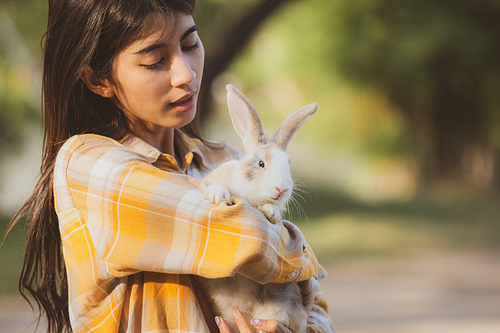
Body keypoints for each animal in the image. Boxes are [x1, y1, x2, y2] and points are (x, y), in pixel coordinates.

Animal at [195, 84, 316, 330]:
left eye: (288, 165)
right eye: (261, 164)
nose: (282, 189)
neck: (250, 196)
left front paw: (272, 213)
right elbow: (214, 185)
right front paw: (218, 195)